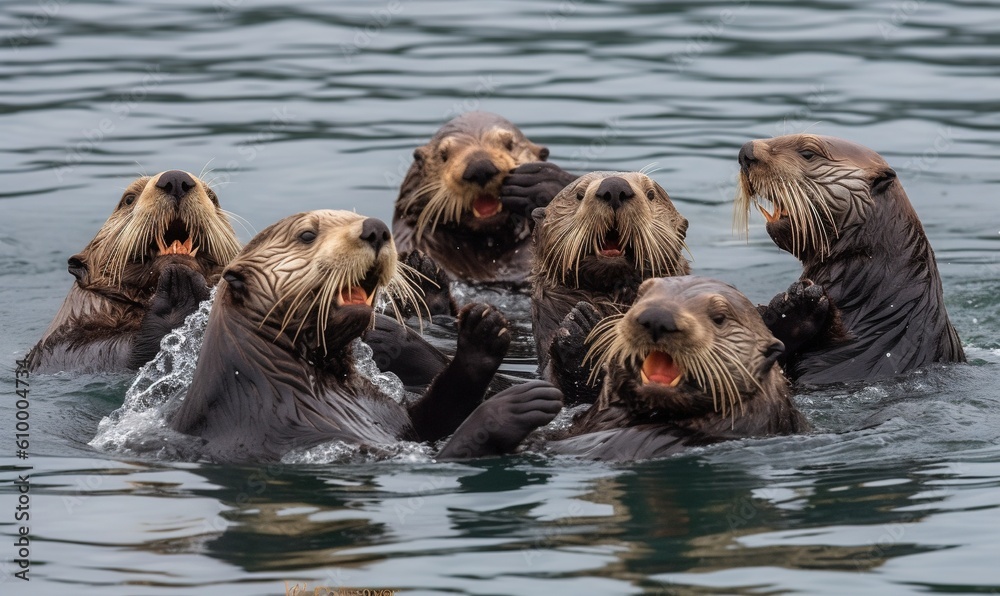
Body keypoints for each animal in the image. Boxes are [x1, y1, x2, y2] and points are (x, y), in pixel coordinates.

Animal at [169, 210, 562, 463]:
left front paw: (483, 332)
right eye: (307, 235)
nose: (376, 229)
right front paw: (511, 409)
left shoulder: (393, 416)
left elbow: (431, 418)